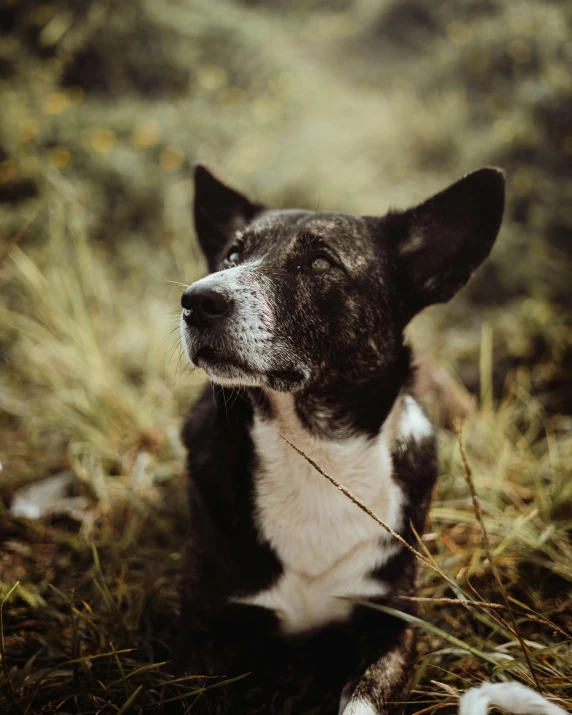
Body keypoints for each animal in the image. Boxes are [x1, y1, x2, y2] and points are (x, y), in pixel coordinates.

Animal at [177, 164, 502, 715]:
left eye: (320, 262)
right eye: (231, 256)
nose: (197, 300)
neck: (315, 449)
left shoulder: (391, 624)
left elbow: (363, 701)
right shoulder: (211, 632)